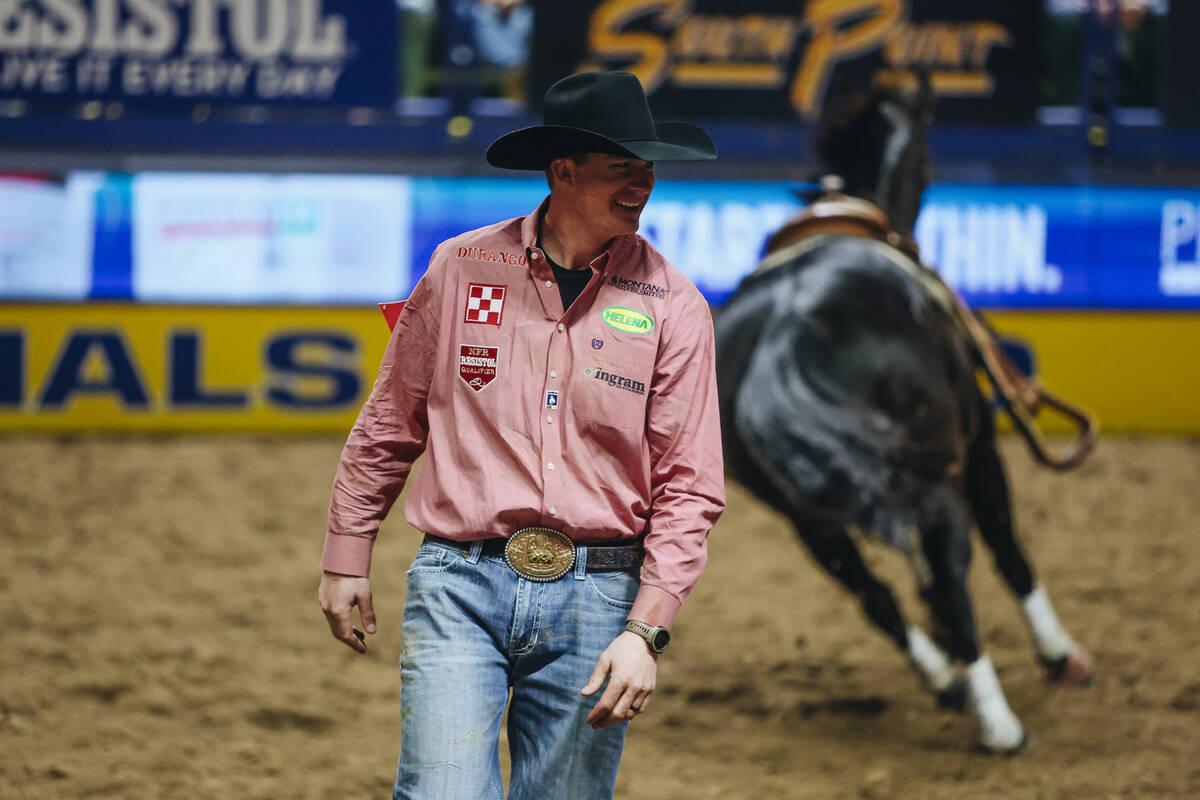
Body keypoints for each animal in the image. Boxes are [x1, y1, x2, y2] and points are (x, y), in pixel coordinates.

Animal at [710, 81, 1099, 753]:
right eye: (926, 158)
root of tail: (783, 333)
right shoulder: (979, 448)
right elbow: (1007, 550)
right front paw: (1058, 654)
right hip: (935, 477)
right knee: (954, 578)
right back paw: (999, 724)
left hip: (805, 514)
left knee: (874, 595)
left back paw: (945, 680)